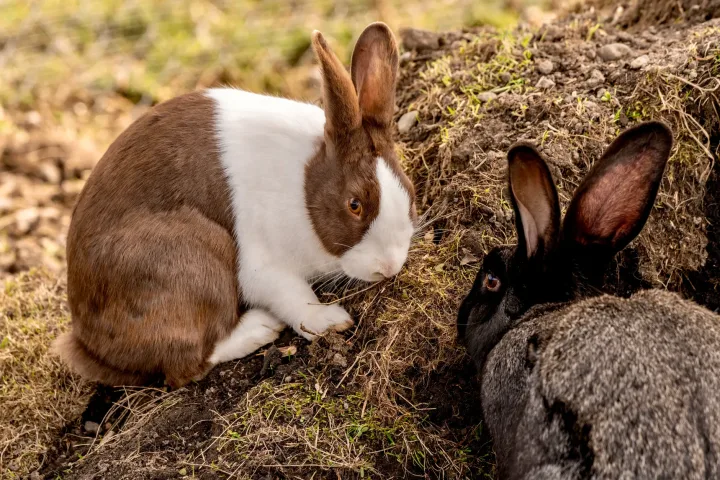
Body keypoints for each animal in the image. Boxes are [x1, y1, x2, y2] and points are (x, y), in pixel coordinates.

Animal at [53, 22, 417, 388]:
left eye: (409, 191)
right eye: (354, 204)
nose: (388, 267)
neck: (304, 185)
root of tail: (89, 344)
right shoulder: (264, 266)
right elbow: (293, 296)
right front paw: (329, 320)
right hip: (193, 258)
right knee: (186, 365)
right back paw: (260, 328)